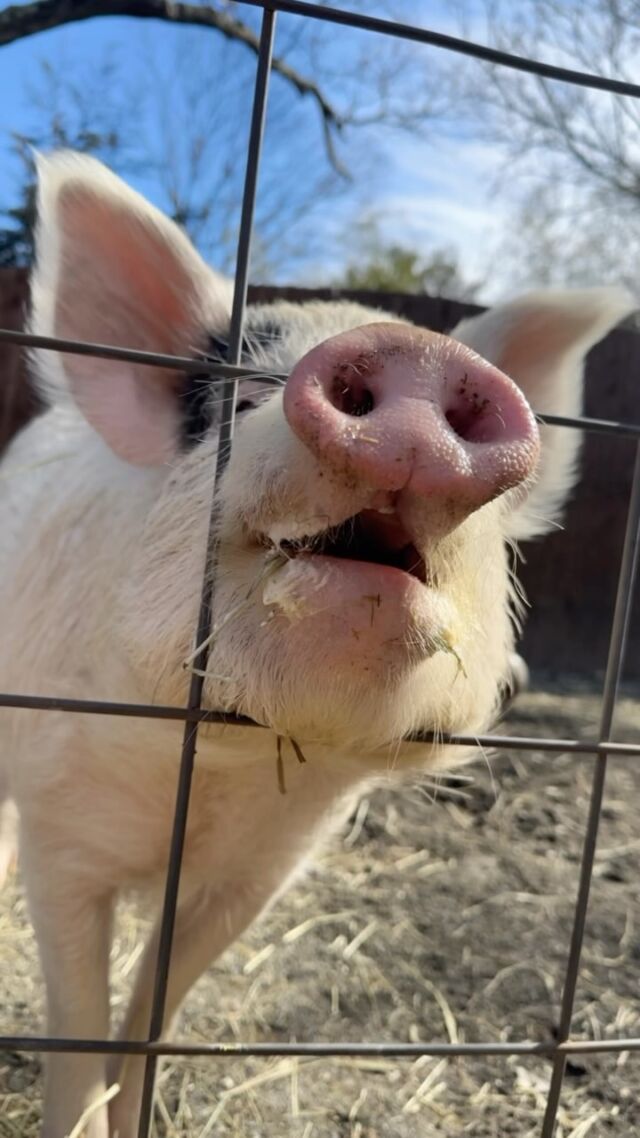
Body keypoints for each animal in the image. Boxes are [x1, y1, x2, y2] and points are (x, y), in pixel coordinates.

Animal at [0, 153, 628, 1138]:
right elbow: (76, 1023)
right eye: (243, 397)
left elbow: (154, 1011)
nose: (419, 355)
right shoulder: (61, 831)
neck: (222, 775)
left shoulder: (264, 871)